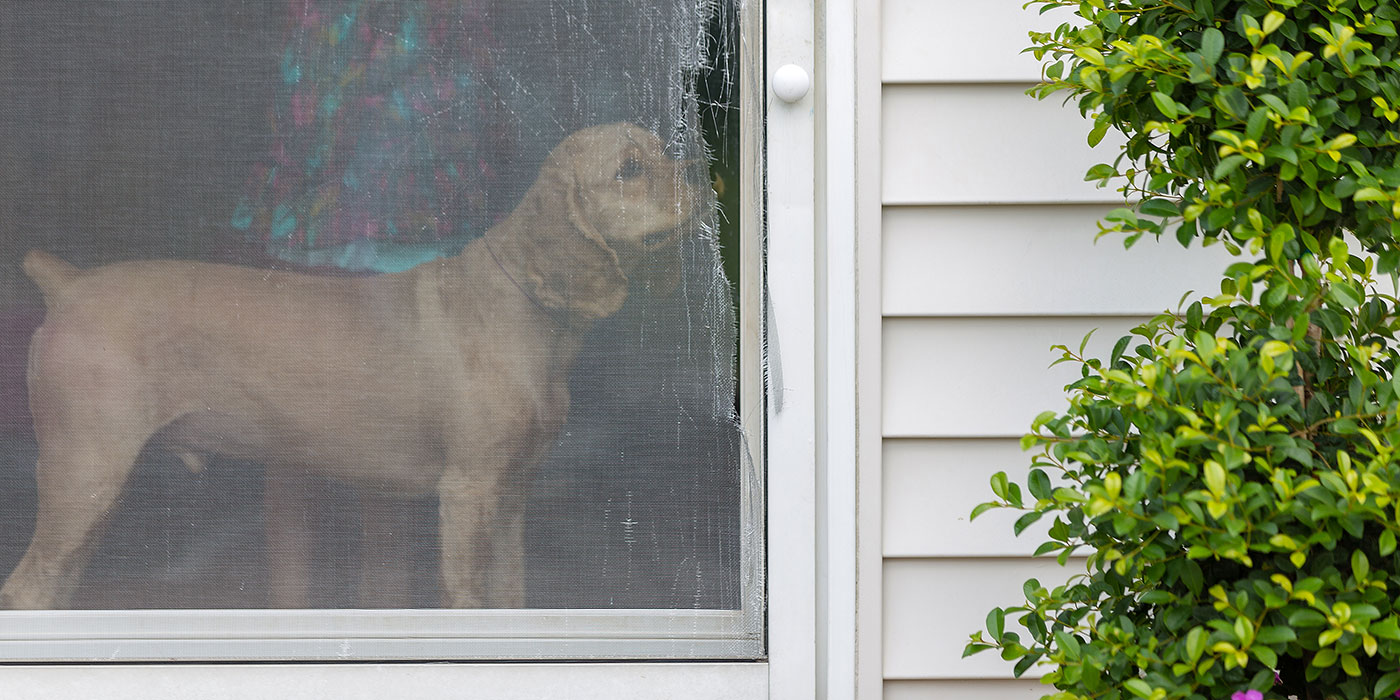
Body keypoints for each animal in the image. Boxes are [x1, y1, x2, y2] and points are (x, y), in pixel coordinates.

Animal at [0, 123, 700, 610]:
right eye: (630, 169)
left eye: (663, 150)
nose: (697, 177)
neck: (525, 307)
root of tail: (68, 285)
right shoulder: (467, 492)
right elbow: (467, 599)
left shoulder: (511, 496)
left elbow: (513, 595)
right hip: (83, 472)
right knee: (27, 591)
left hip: (91, 492)